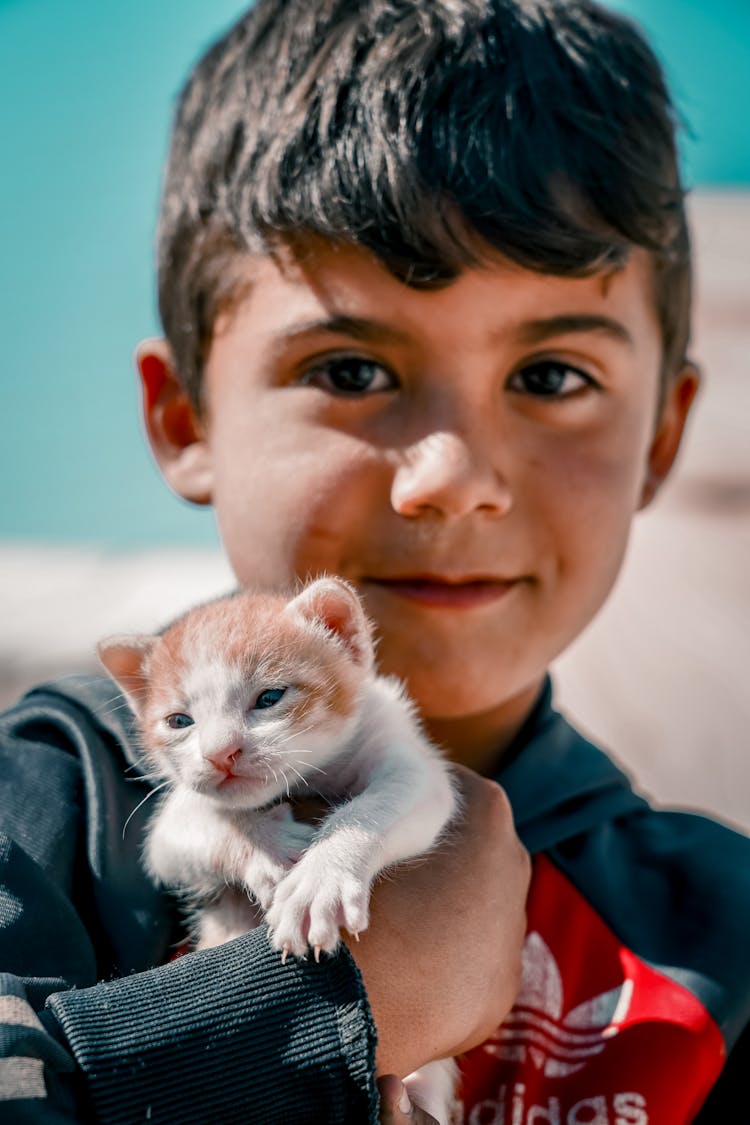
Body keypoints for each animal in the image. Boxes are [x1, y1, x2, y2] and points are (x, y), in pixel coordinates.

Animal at [99, 580, 463, 1125]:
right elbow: (200, 822)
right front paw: (267, 848)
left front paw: (320, 881)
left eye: (269, 697)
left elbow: (378, 804)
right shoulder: (167, 827)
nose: (219, 754)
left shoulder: (410, 762)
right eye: (179, 721)